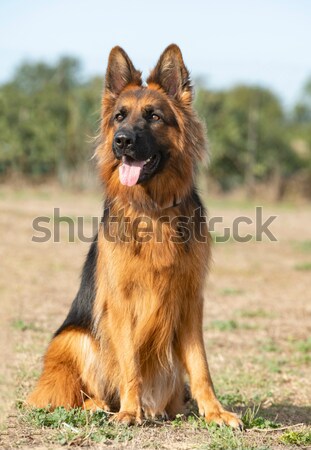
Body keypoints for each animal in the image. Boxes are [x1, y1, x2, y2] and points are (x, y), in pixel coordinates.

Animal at [27, 45, 241, 428]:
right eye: (119, 116)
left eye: (154, 116)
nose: (122, 141)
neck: (153, 210)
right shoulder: (121, 302)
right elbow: (129, 362)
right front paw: (129, 410)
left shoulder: (190, 300)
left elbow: (200, 365)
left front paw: (214, 411)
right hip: (76, 338)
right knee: (77, 392)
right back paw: (101, 406)